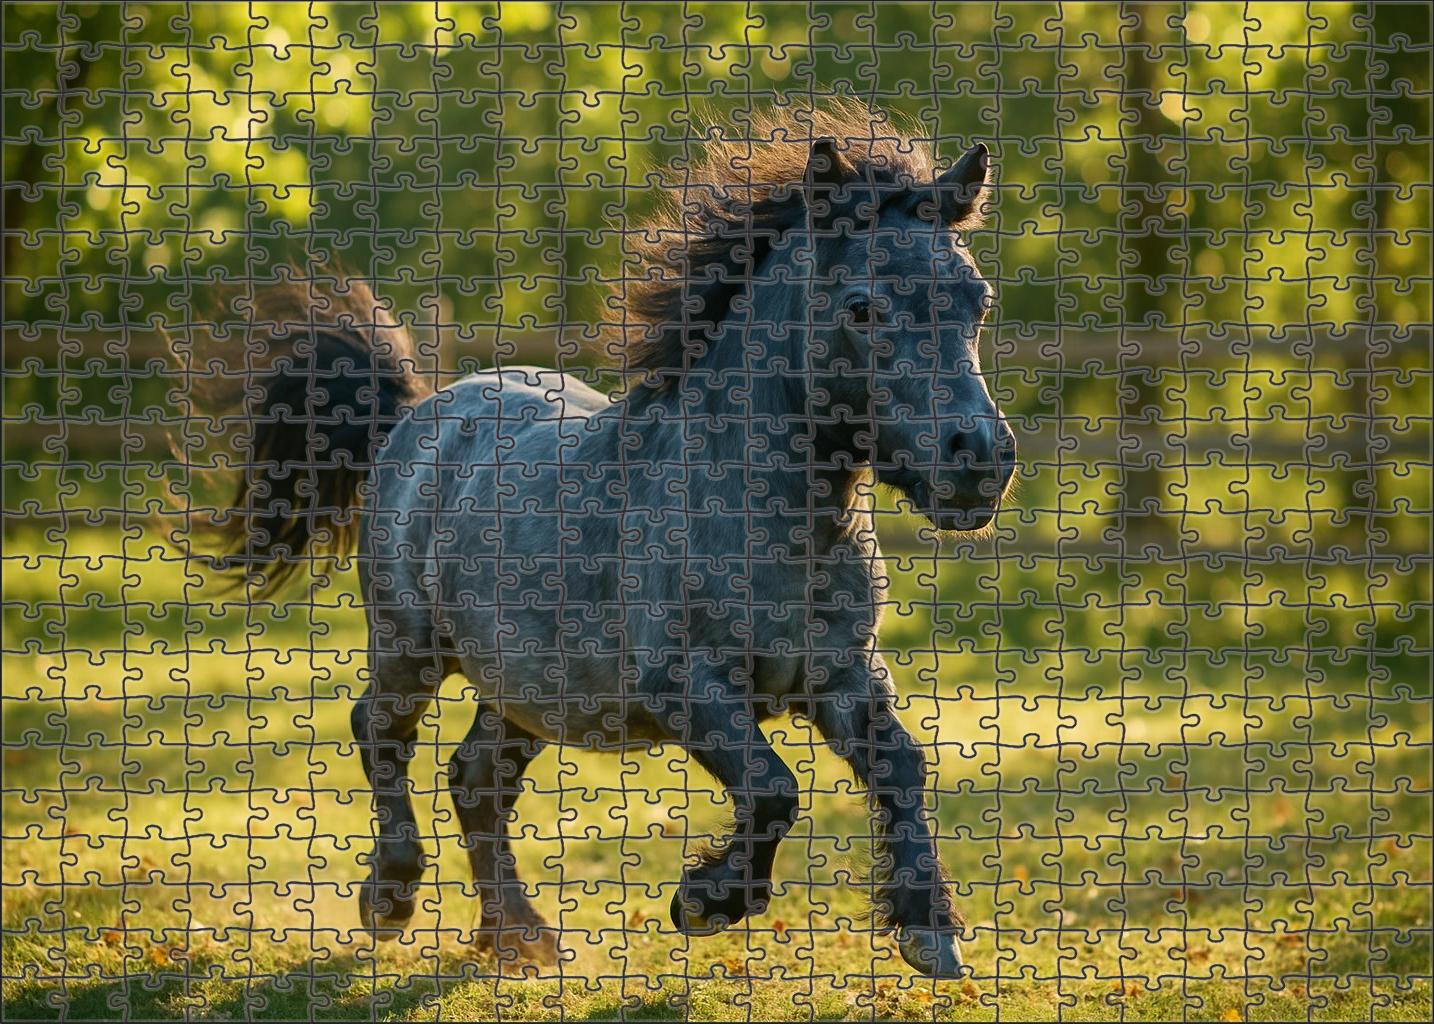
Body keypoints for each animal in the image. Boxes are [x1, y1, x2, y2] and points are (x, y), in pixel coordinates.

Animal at [203, 105, 1017, 978]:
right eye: (864, 309)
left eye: (977, 300)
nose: (979, 460)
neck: (759, 515)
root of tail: (415, 417)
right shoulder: (688, 686)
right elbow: (773, 788)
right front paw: (704, 903)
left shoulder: (842, 676)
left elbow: (902, 766)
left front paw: (927, 929)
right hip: (410, 646)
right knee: (378, 730)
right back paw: (390, 900)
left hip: (525, 689)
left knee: (476, 778)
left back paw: (519, 937)